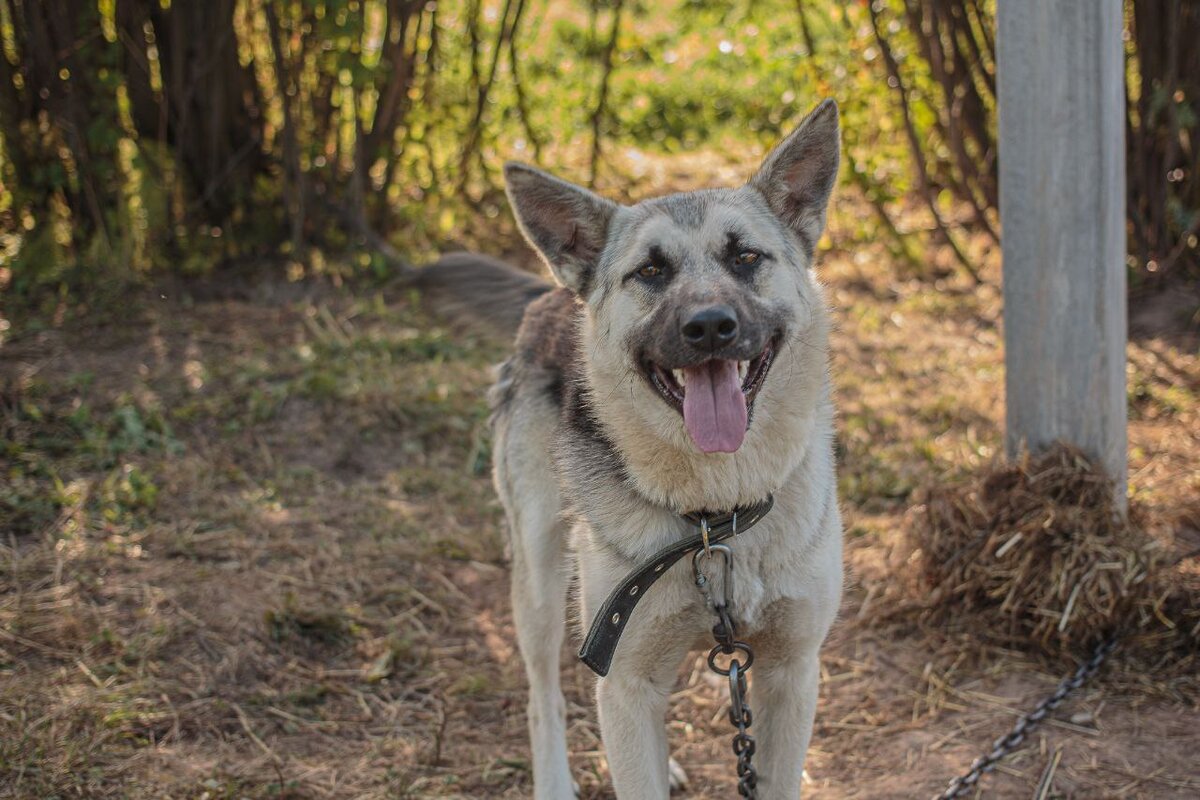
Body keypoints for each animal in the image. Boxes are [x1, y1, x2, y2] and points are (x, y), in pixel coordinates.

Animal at [422, 98, 844, 796]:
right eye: (651, 271)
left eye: (745, 258)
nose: (710, 327)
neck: (715, 517)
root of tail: (551, 294)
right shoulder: (624, 670)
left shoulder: (790, 674)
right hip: (540, 582)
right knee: (545, 693)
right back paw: (554, 781)